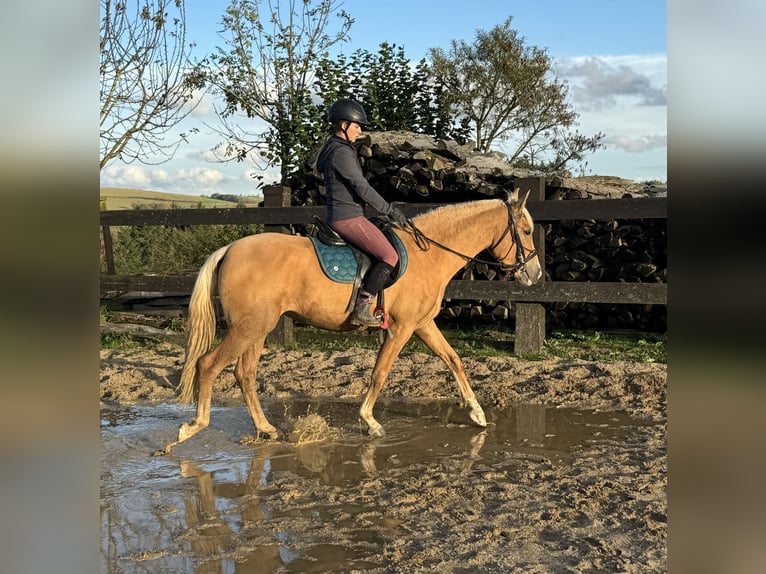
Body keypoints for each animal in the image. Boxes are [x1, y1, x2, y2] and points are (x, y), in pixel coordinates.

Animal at [159, 187, 544, 456]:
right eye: (526, 231)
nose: (535, 275)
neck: (428, 255)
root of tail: (230, 249)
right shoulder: (401, 329)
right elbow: (380, 373)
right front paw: (370, 422)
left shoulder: (422, 325)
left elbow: (454, 361)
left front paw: (477, 414)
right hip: (249, 328)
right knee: (209, 365)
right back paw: (193, 428)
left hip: (258, 329)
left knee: (245, 374)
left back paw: (266, 429)